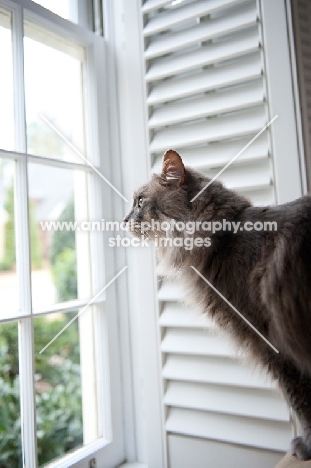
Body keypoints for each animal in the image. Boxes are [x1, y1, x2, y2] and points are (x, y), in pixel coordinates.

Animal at [123, 150, 311, 460]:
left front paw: (305, 446)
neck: (225, 239)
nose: (123, 220)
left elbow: (300, 398)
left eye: (140, 201)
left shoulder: (272, 343)